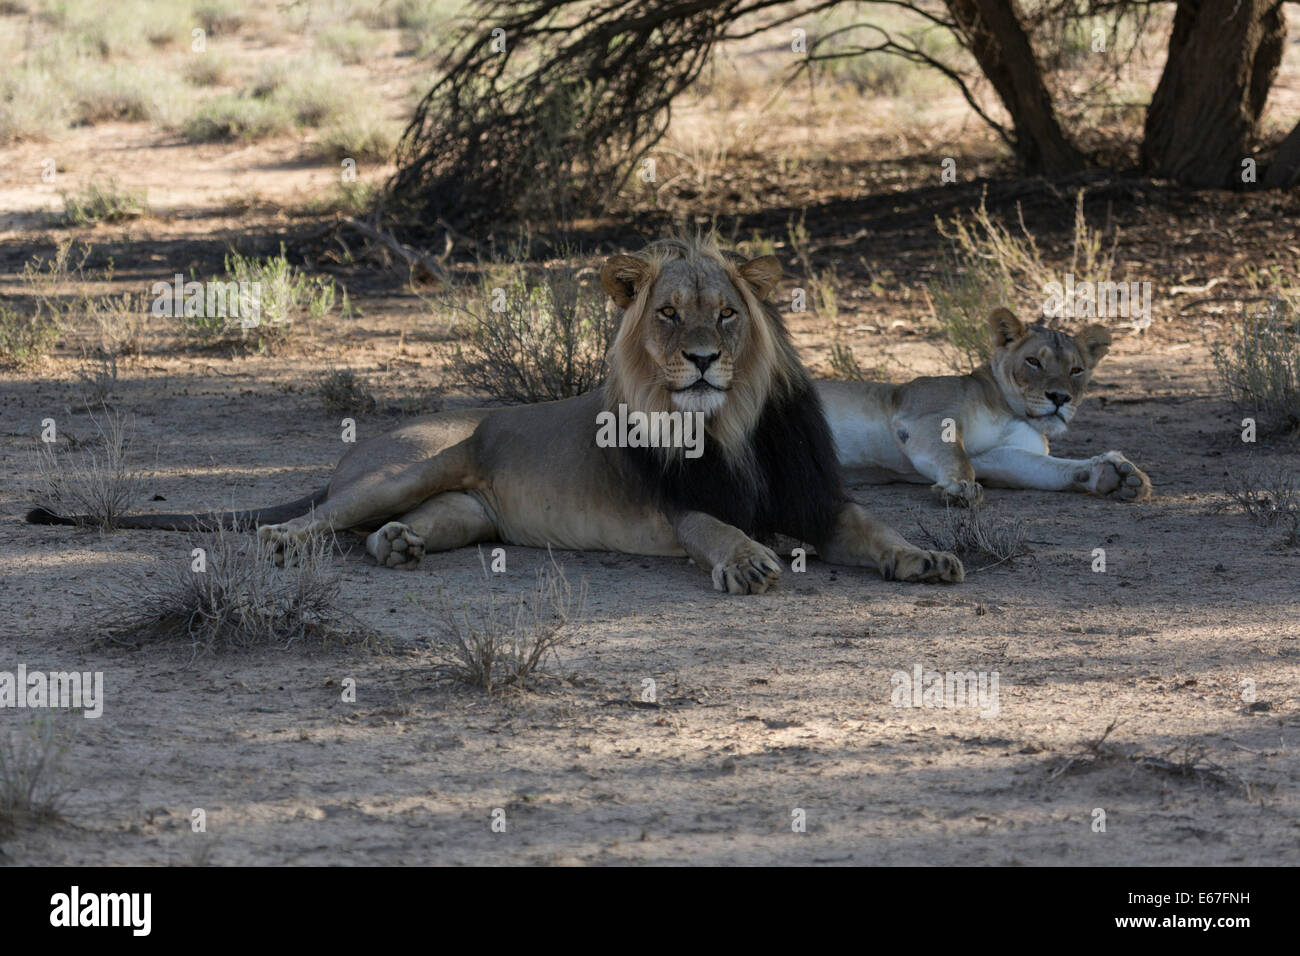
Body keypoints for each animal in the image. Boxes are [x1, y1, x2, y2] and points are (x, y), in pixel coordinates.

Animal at [27, 236, 967, 595]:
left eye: (727, 315)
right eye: (669, 314)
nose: (701, 359)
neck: (726, 421)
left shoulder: (819, 499)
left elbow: (876, 526)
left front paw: (925, 557)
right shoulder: (679, 509)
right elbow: (720, 528)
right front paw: (749, 561)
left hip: (467, 510)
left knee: (392, 530)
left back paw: (398, 547)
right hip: (413, 464)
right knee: (318, 520)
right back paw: (285, 542)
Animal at [816, 312, 1154, 509]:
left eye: (1076, 370)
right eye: (1034, 361)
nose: (1059, 397)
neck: (1009, 409)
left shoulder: (998, 455)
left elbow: (1050, 467)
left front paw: (1115, 476)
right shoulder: (926, 414)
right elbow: (956, 455)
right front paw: (960, 488)